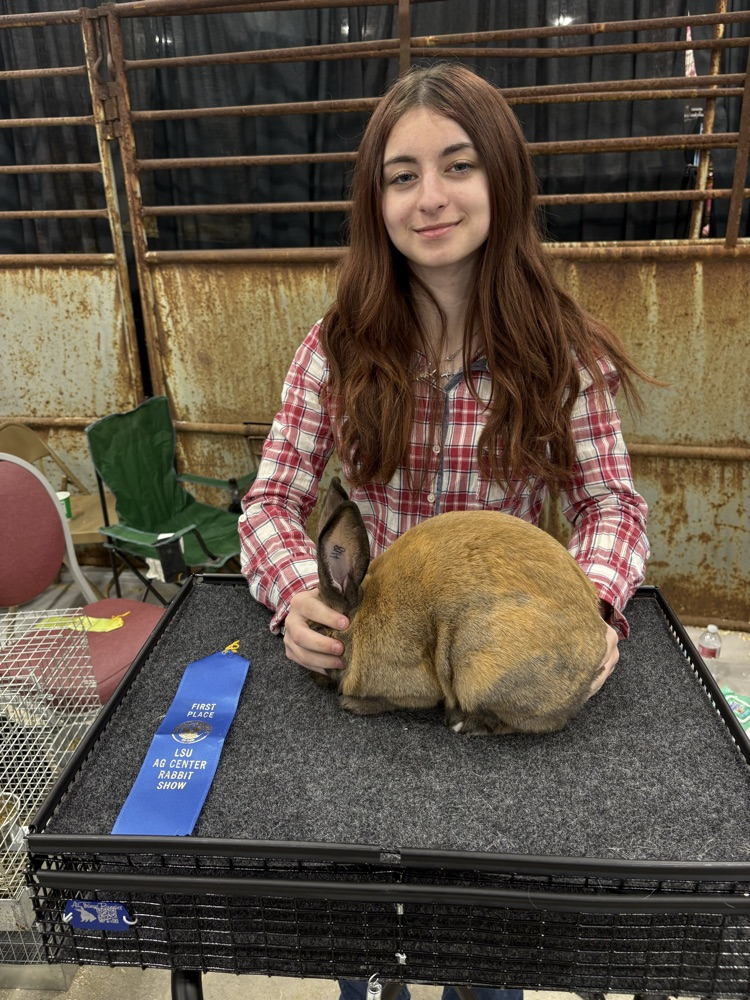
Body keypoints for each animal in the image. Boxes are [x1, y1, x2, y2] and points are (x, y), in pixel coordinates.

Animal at [312, 477, 610, 736]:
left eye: (317, 629)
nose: (317, 677)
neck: (360, 616)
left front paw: (350, 703)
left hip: (481, 669)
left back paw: (464, 723)